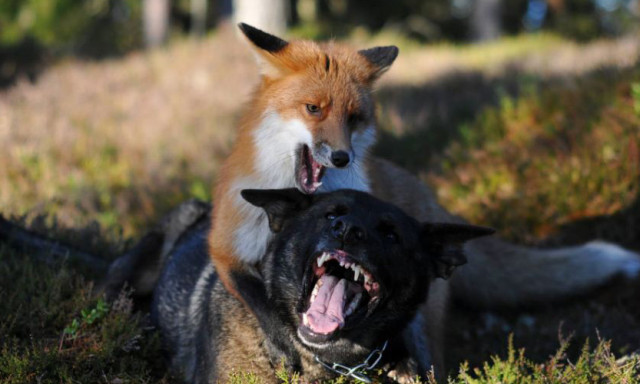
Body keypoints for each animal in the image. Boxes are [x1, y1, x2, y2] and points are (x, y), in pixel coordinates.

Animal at [209, 22, 640, 376]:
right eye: (313, 109)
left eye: (354, 118)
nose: (343, 157)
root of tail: (427, 197)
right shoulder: (227, 247)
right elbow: (264, 307)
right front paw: (286, 348)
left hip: (425, 322)